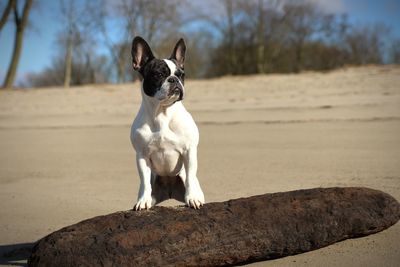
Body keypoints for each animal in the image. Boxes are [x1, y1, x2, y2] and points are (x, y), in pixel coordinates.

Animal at [131, 36, 205, 211]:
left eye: (181, 74)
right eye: (158, 74)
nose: (174, 79)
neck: (162, 114)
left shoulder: (189, 151)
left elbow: (190, 177)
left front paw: (192, 198)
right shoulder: (141, 156)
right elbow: (145, 181)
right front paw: (143, 201)